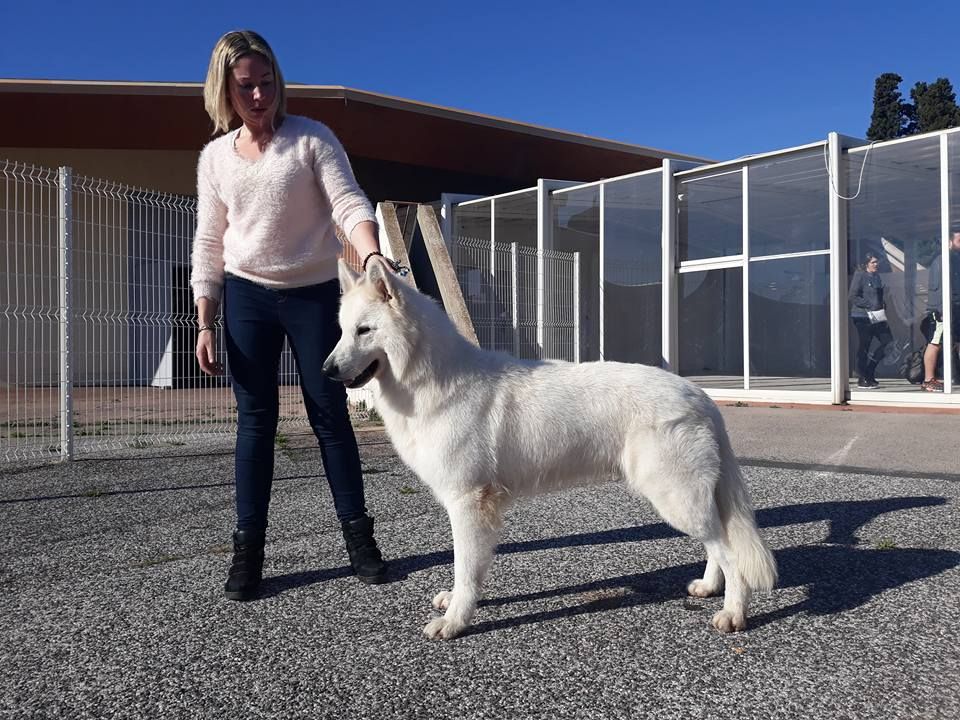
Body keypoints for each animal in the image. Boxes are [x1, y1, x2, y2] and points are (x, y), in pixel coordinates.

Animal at [326, 256, 776, 640]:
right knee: (718, 544)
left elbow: (465, 567)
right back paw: (709, 587)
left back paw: (733, 611)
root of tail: (700, 396)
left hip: (674, 498)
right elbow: (472, 569)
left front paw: (455, 621)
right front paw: (459, 604)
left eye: (364, 330)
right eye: (343, 331)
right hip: (685, 501)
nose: (325, 370)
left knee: (731, 553)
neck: (431, 379)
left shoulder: (467, 504)